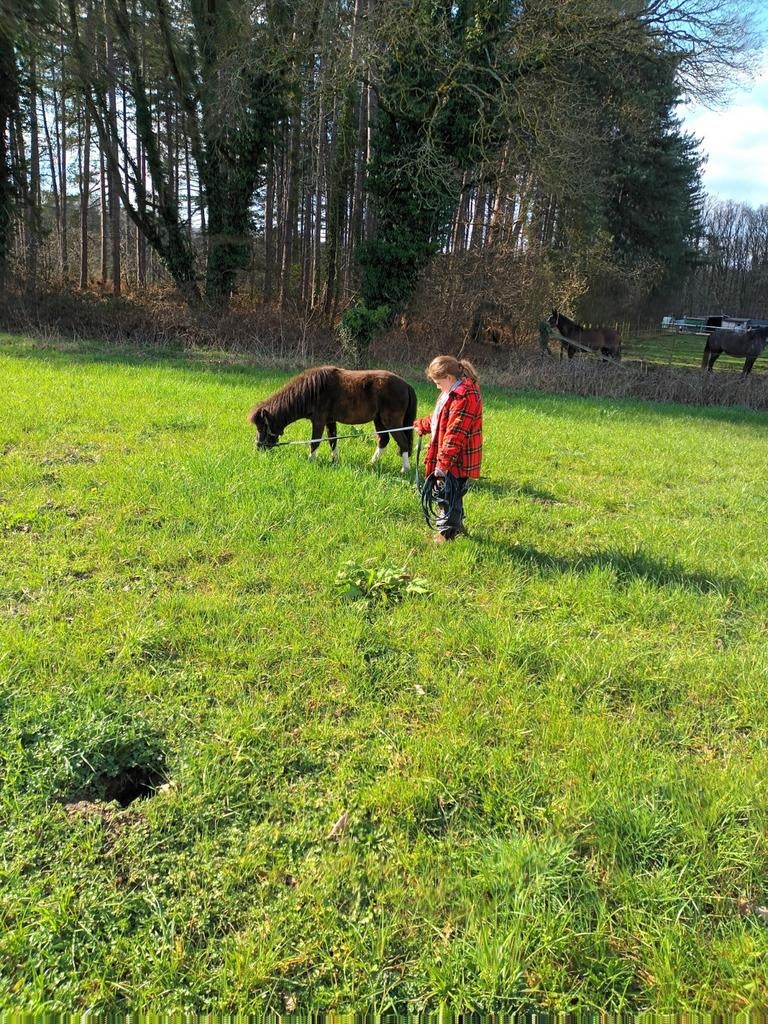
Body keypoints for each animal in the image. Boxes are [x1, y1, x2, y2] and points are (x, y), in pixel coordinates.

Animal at [248, 366, 417, 471]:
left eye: (262, 427)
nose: (258, 447)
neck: (312, 390)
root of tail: (406, 385)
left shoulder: (319, 421)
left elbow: (315, 441)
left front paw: (311, 460)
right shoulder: (330, 421)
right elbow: (333, 440)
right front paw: (334, 461)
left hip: (391, 422)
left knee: (403, 442)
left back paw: (405, 469)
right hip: (379, 421)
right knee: (383, 441)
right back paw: (371, 463)